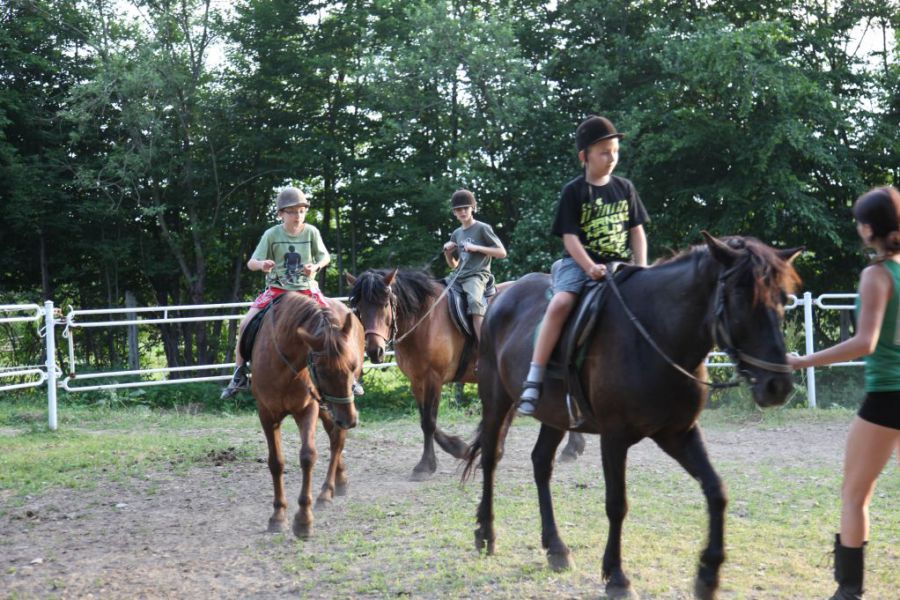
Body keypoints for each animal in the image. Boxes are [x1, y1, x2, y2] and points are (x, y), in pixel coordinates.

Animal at [250, 293, 364, 538]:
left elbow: (308, 456)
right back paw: (340, 480)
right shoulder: (266, 414)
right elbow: (276, 462)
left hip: (328, 407)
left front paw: (303, 518)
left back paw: (326, 492)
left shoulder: (308, 410)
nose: (350, 420)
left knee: (337, 439)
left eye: (353, 366)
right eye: (322, 370)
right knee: (335, 435)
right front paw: (278, 515)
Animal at [462, 233, 801, 600]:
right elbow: (617, 504)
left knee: (541, 463)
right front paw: (617, 576)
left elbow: (716, 491)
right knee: (491, 458)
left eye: (782, 298)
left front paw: (708, 574)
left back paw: (556, 547)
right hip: (496, 400)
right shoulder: (614, 437)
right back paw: (485, 533)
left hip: (555, 416)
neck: (655, 335)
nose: (778, 385)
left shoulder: (679, 433)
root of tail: (501, 298)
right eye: (741, 296)